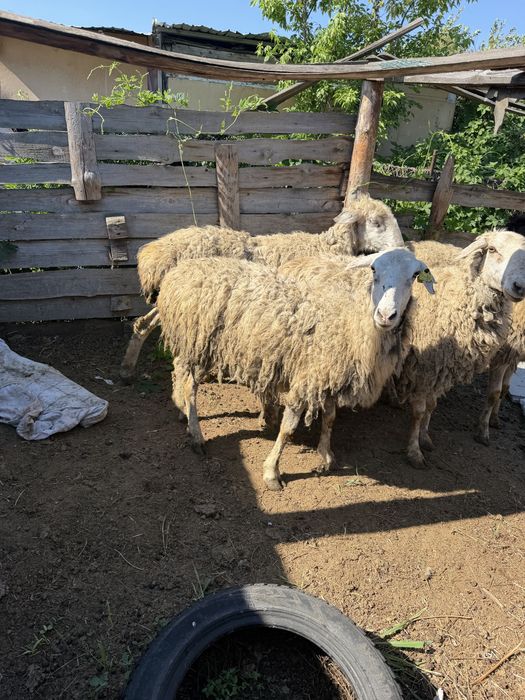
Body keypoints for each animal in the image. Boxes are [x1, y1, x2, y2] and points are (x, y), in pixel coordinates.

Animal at [120, 195, 404, 381]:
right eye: (377, 222)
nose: (402, 247)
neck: (325, 246)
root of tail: (153, 255)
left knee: (141, 324)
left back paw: (127, 369)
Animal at [156, 247, 433, 490]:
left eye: (414, 276)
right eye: (374, 270)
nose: (386, 315)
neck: (350, 321)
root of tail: (179, 270)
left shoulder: (326, 376)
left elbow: (330, 418)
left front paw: (326, 456)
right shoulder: (306, 378)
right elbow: (288, 429)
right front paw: (271, 472)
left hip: (193, 345)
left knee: (178, 372)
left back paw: (181, 410)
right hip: (196, 342)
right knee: (190, 386)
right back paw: (196, 434)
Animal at [391, 230, 525, 468]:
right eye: (492, 249)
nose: (520, 286)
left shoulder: (442, 368)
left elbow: (432, 405)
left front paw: (425, 437)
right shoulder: (425, 367)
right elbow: (419, 411)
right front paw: (414, 451)